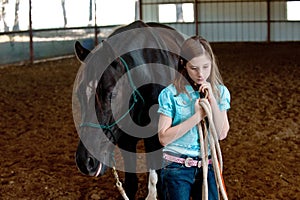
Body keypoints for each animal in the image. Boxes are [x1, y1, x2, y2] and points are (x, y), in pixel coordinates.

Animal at [73, 20, 185, 198]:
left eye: (111, 93)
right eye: (79, 93)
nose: (85, 161)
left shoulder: (156, 138)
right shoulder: (126, 141)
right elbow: (131, 185)